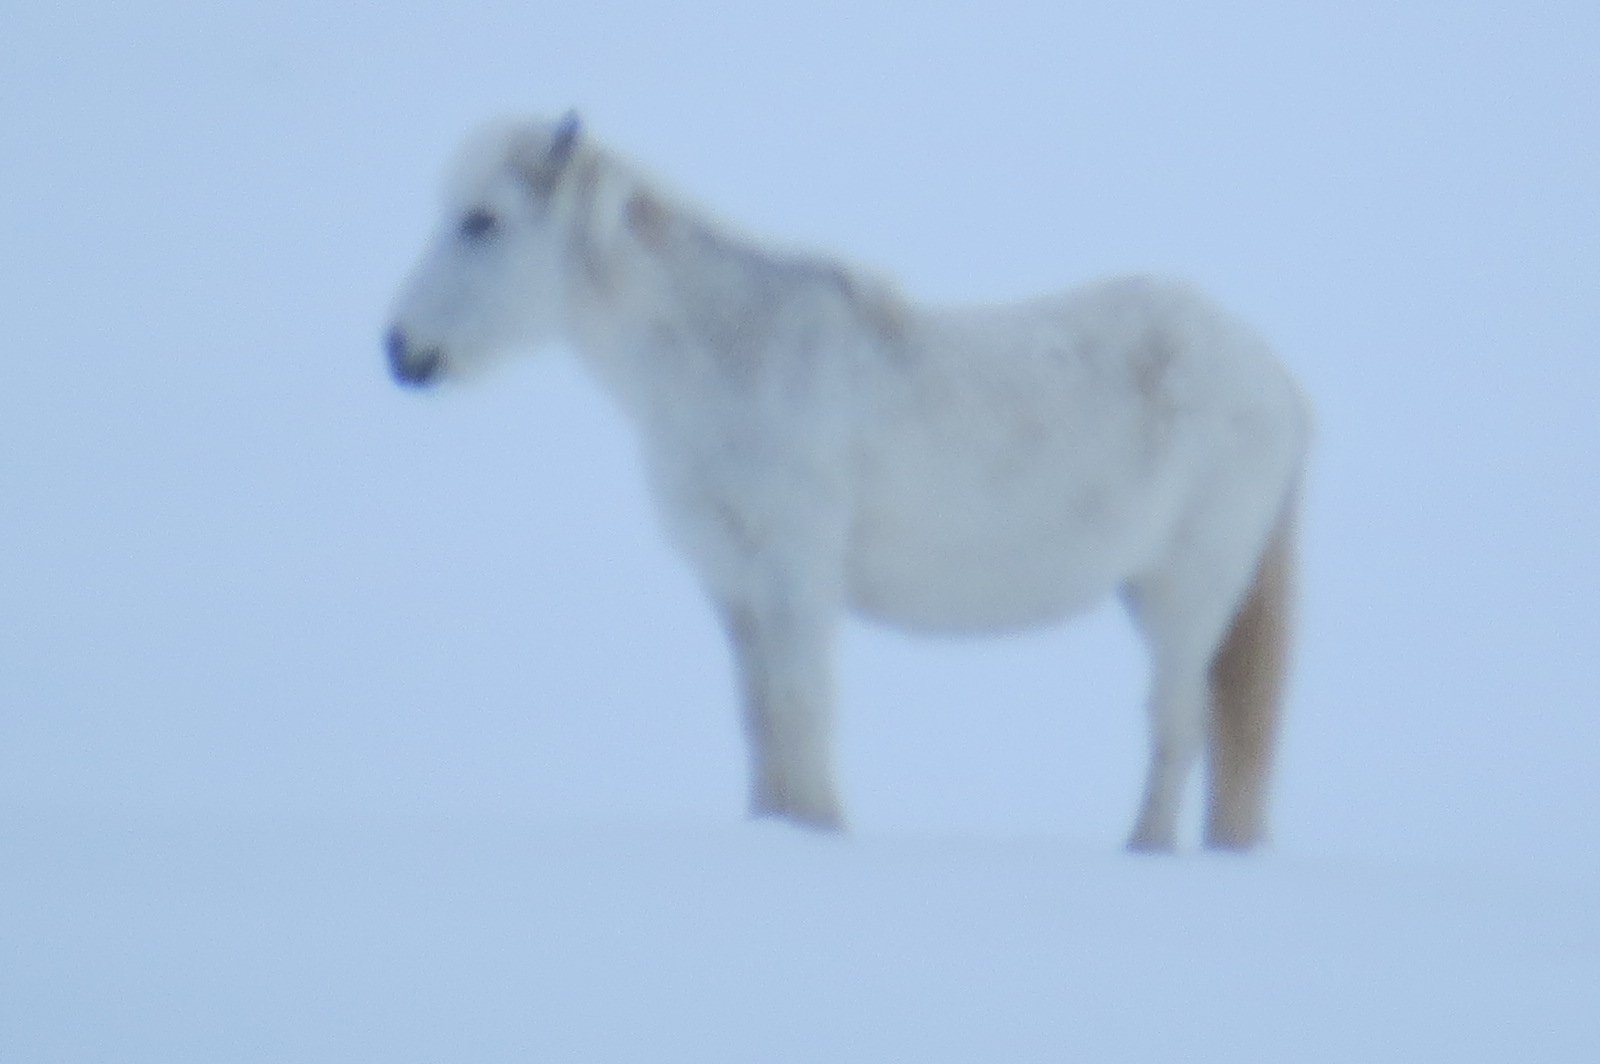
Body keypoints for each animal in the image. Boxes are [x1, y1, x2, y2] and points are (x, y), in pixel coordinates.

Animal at [387, 112, 1312, 851]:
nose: (400, 351)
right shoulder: (736, 590)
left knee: (1178, 727)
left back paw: (1143, 851)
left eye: (483, 220)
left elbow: (801, 716)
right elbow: (761, 722)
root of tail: (1271, 372)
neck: (738, 359)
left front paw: (819, 832)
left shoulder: (796, 577)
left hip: (1185, 596)